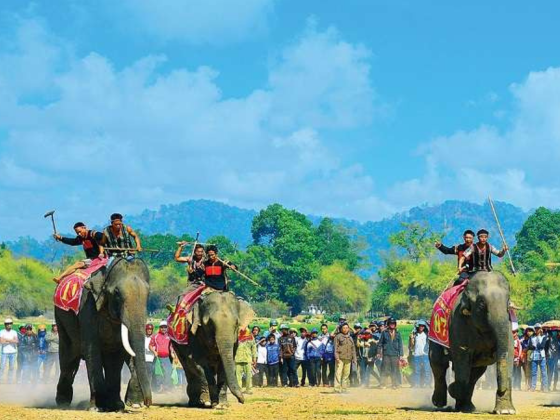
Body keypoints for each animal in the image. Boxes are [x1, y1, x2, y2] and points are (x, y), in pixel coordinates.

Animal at [54, 258, 152, 412]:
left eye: (148, 293)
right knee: (68, 358)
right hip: (61, 320)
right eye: (117, 293)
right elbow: (92, 350)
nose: (148, 403)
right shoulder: (87, 306)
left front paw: (119, 405)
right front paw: (97, 407)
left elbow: (117, 355)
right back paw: (63, 403)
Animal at [428, 270, 516, 416]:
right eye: (481, 304)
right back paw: (440, 403)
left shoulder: (508, 323)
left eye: (508, 303)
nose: (500, 390)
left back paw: (466, 407)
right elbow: (462, 355)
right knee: (438, 363)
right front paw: (453, 389)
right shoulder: (458, 321)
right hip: (434, 332)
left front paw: (506, 411)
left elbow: (508, 355)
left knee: (475, 373)